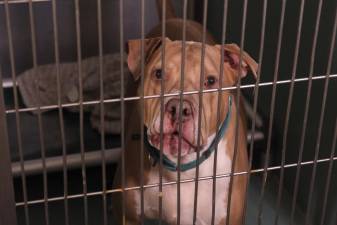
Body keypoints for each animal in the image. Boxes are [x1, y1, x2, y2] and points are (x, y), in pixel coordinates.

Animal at [113, 0, 258, 224]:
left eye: (210, 81)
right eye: (159, 74)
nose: (179, 108)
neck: (184, 169)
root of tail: (177, 19)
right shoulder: (127, 216)